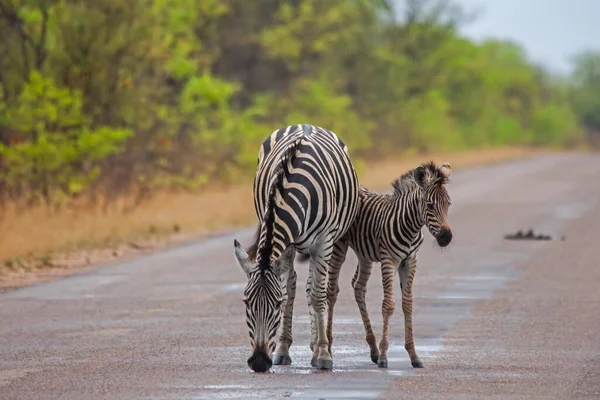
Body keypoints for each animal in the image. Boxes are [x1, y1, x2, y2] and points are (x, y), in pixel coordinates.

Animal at [233, 124, 356, 372]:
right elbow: (290, 291)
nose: (259, 362)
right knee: (304, 286)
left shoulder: (323, 242)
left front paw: (324, 354)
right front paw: (282, 349)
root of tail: (305, 124)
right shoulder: (286, 243)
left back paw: (319, 347)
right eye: (246, 302)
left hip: (331, 243)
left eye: (275, 304)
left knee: (321, 290)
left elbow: (317, 295)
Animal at [326, 159, 452, 368]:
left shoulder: (410, 261)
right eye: (429, 205)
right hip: (339, 247)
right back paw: (327, 348)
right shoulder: (389, 260)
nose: (446, 237)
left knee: (358, 286)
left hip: (365, 254)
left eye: (449, 204)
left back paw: (373, 349)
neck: (410, 227)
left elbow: (407, 304)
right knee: (331, 291)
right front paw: (385, 356)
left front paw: (413, 355)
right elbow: (389, 305)